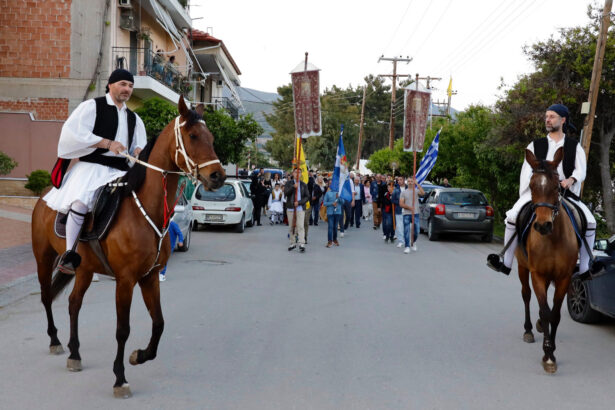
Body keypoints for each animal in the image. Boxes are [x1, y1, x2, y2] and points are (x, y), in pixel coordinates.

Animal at [31, 96, 225, 397]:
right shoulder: (125, 280)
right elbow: (122, 329)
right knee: (46, 297)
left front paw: (139, 356)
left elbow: (159, 323)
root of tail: (44, 197)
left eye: (212, 138)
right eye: (193, 136)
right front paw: (119, 378)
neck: (143, 208)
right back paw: (55, 341)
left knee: (74, 303)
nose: (218, 176)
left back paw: (75, 354)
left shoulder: (149, 277)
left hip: (85, 268)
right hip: (44, 257)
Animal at [516, 147, 578, 373]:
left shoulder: (564, 278)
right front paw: (548, 354)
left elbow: (555, 314)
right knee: (526, 295)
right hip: (522, 268)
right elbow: (544, 310)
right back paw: (528, 330)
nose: (543, 225)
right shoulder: (538, 275)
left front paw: (551, 352)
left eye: (556, 185)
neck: (553, 239)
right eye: (532, 185)